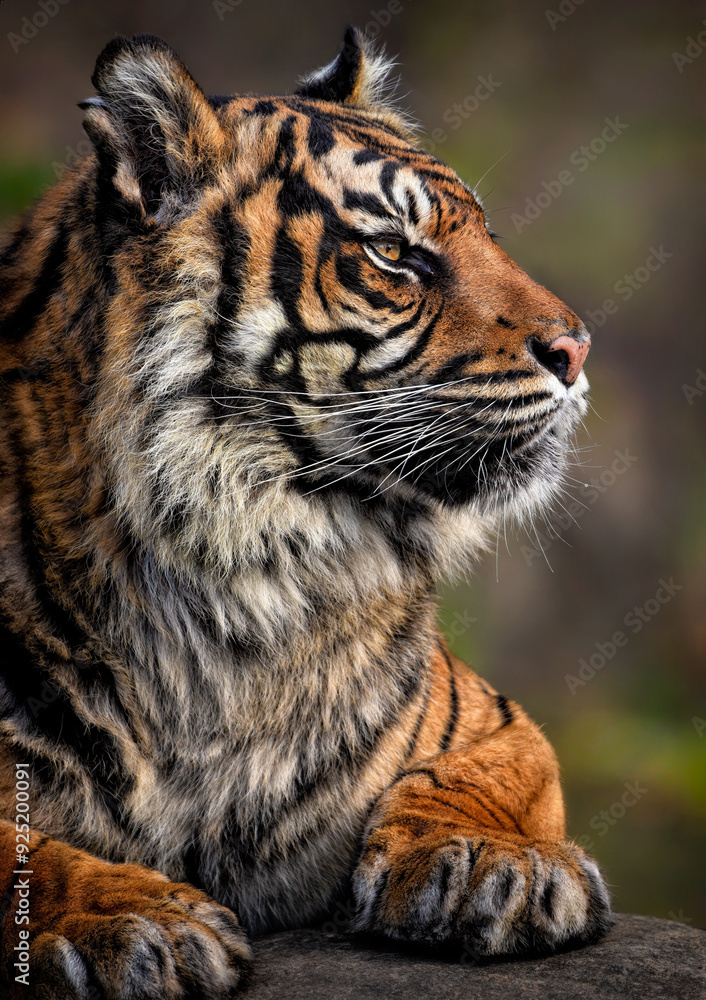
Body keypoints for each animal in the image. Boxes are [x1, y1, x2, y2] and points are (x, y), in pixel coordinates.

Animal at [0, 27, 611, 999]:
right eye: (395, 253)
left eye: (488, 235)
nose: (578, 349)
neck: (245, 588)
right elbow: (25, 850)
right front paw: (133, 920)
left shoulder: (488, 715)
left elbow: (484, 774)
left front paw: (496, 865)